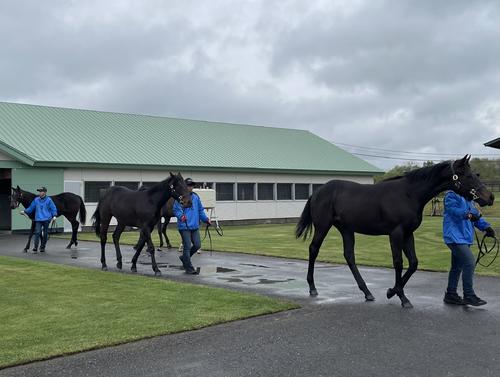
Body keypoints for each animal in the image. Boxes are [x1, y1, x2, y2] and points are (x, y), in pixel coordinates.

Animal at [294, 154, 494, 306]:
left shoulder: (408, 234)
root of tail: (318, 191)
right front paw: (400, 296)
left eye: (475, 174)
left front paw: (393, 291)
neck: (409, 194)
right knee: (314, 249)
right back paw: (312, 287)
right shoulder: (396, 234)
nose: (490, 197)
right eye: (468, 176)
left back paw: (367, 292)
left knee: (349, 256)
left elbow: (413, 263)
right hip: (323, 226)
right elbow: (398, 262)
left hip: (346, 230)